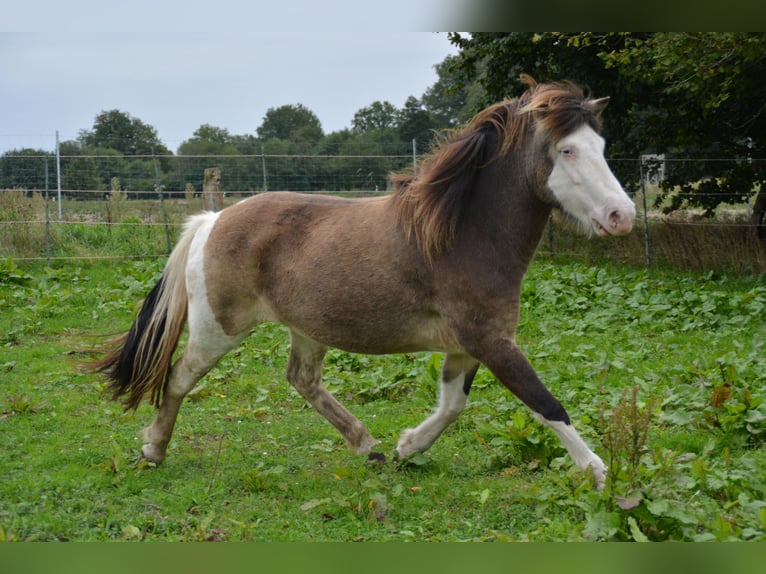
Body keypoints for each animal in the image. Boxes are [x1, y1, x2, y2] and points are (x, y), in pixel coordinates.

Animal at [90, 75, 635, 490]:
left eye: (602, 146)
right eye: (566, 149)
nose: (622, 215)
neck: (462, 234)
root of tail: (212, 219)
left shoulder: (467, 346)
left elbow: (453, 404)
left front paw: (406, 447)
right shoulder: (491, 341)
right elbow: (546, 404)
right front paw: (602, 474)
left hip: (306, 329)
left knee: (302, 380)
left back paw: (367, 446)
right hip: (217, 330)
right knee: (180, 378)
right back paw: (153, 449)